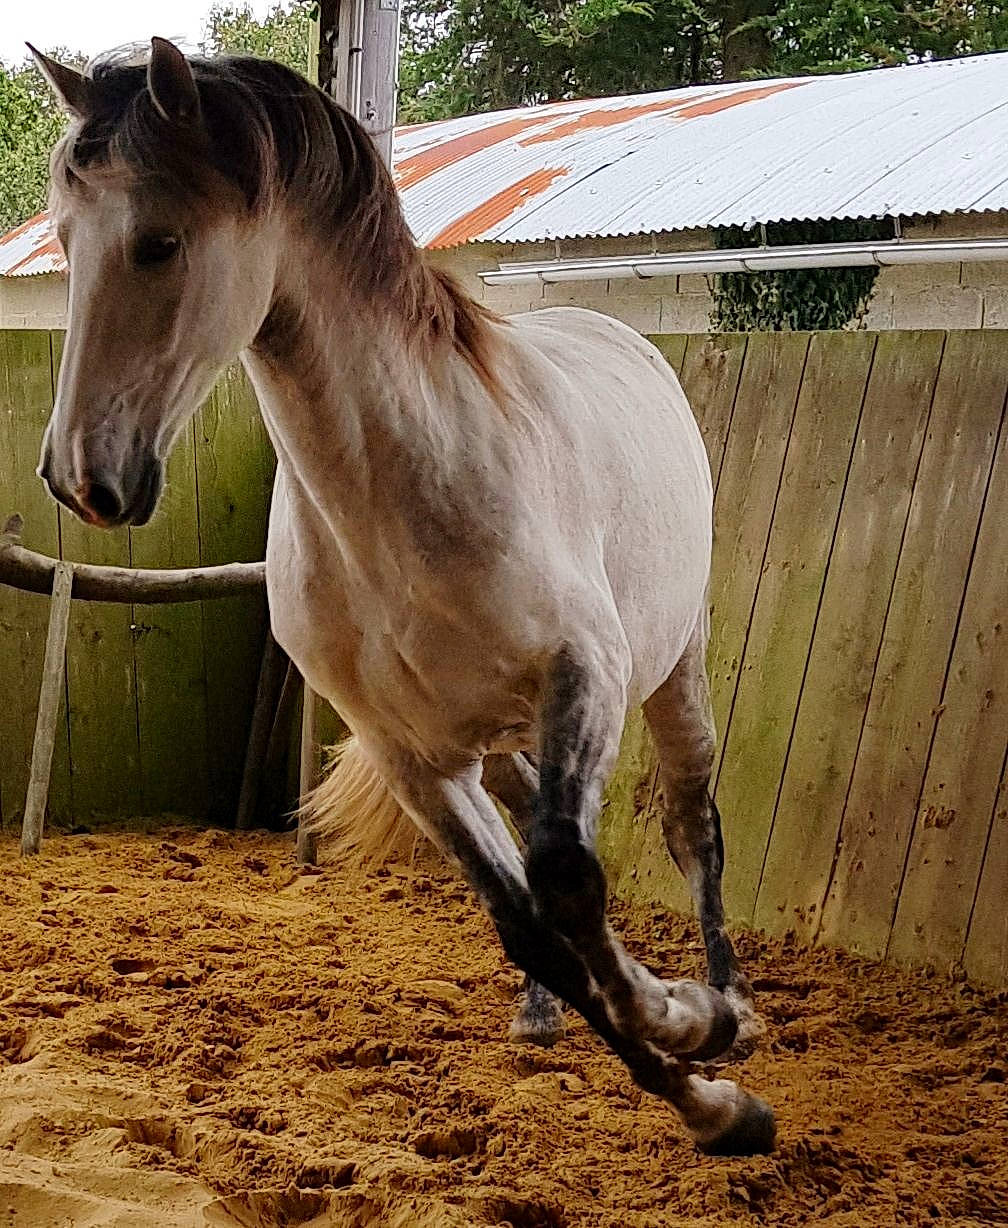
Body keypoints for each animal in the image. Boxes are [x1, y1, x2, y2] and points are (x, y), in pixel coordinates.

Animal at [31, 38, 774, 1156]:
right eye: (69, 242)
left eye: (160, 242)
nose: (83, 479)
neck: (406, 497)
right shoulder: (411, 753)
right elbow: (531, 919)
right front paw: (701, 1091)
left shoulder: (586, 677)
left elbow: (567, 879)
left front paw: (698, 1035)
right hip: (499, 741)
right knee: (544, 847)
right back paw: (552, 1017)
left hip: (669, 672)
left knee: (693, 826)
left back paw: (732, 1003)